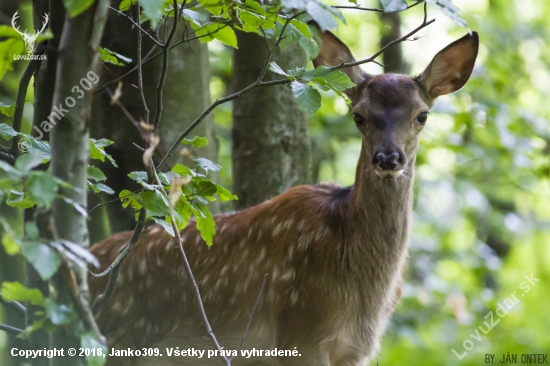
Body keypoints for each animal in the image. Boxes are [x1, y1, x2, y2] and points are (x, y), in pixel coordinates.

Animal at [89, 29, 478, 366]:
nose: (387, 158)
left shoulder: (355, 350)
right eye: (358, 115)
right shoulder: (301, 330)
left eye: (422, 115)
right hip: (118, 338)